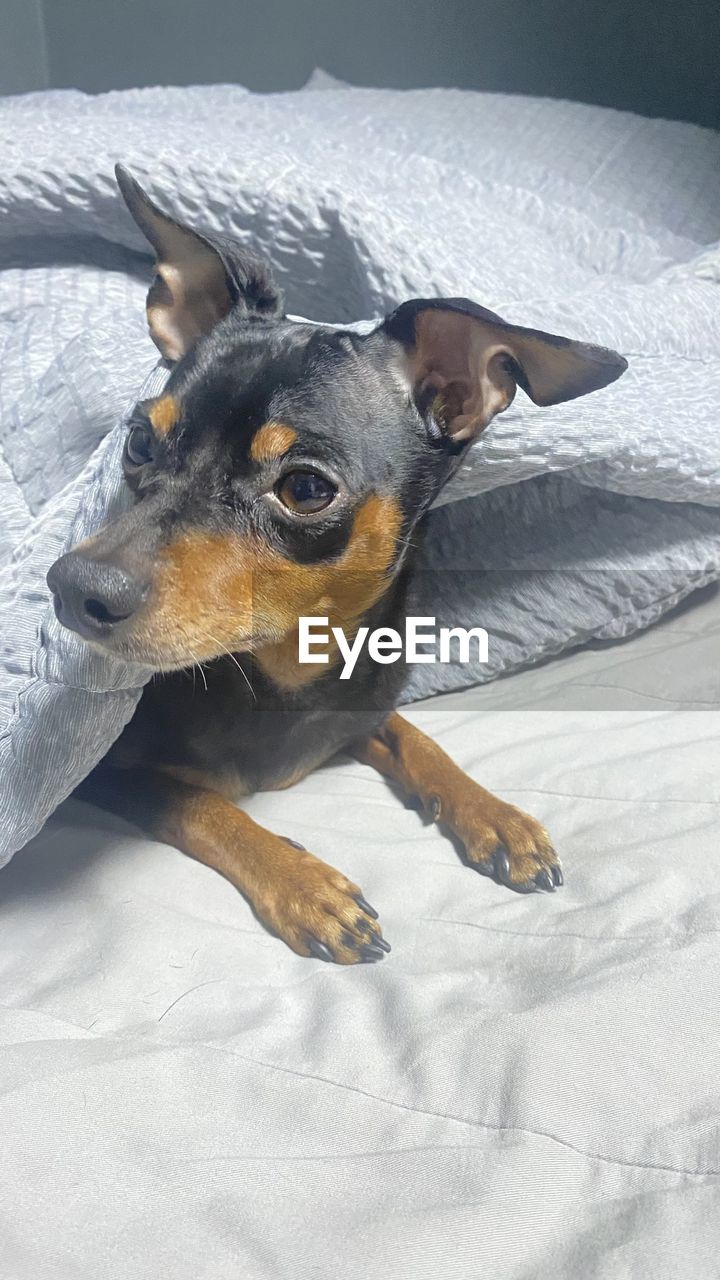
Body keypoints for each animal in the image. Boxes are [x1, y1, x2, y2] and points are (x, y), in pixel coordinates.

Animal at [46, 170, 627, 962]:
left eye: (305, 489)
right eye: (137, 442)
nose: (72, 589)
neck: (287, 674)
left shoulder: (363, 699)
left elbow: (413, 733)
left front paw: (494, 813)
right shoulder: (103, 775)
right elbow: (200, 801)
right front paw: (305, 885)